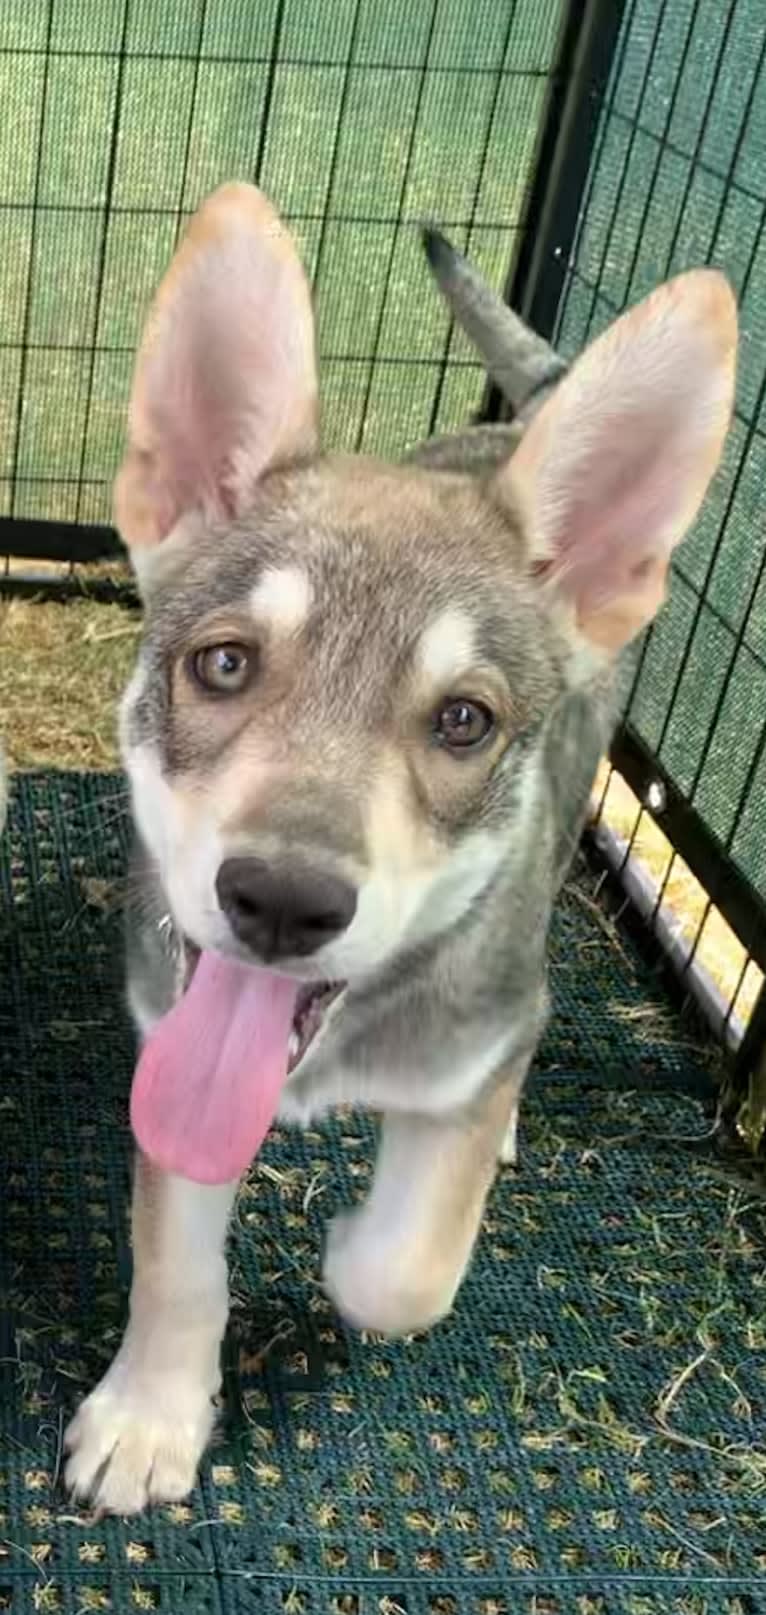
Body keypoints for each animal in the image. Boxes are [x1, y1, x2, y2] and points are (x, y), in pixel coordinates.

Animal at [64, 188, 736, 1511]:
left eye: (462, 721)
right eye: (223, 662)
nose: (279, 900)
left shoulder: (478, 1030)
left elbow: (404, 1275)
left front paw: (350, 1248)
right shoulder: (175, 1047)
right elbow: (176, 1262)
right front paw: (149, 1417)